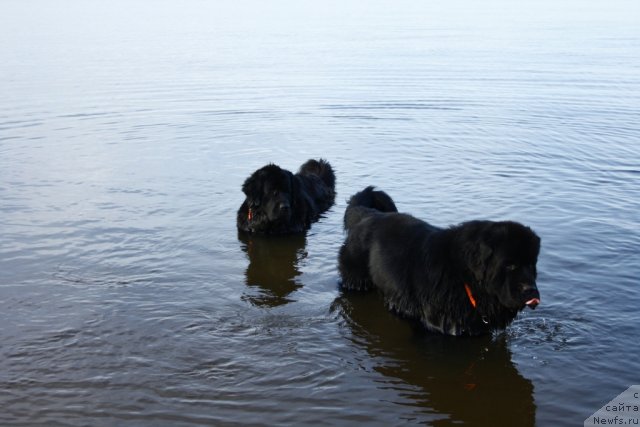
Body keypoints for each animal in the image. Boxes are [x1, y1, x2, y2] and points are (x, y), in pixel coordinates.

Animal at [338, 187, 544, 338]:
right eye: (510, 265)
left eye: (531, 265)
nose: (531, 291)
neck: (463, 277)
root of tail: (369, 214)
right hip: (357, 279)